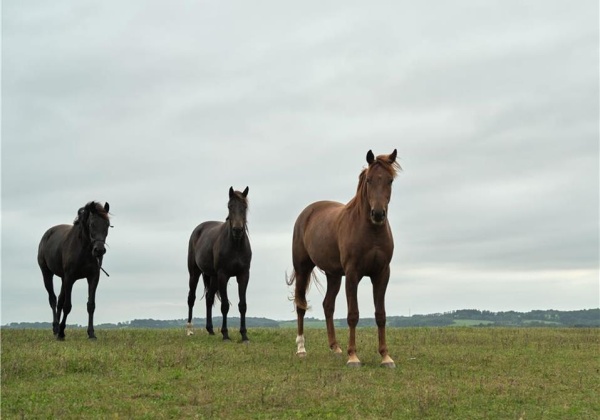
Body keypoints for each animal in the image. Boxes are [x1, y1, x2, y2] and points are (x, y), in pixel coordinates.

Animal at [37, 201, 111, 342]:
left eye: (108, 225)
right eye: (92, 224)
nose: (99, 250)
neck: (84, 249)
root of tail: (47, 234)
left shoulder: (93, 277)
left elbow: (91, 305)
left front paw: (91, 333)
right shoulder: (70, 278)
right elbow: (67, 306)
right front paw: (61, 333)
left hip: (63, 279)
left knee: (59, 300)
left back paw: (57, 329)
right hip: (47, 273)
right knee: (53, 299)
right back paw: (56, 328)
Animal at [188, 187, 253, 342]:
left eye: (244, 207)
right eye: (230, 206)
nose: (237, 230)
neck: (236, 245)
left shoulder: (244, 275)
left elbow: (243, 305)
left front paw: (244, 335)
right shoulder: (224, 275)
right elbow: (224, 305)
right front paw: (225, 334)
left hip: (213, 277)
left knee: (209, 298)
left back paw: (210, 330)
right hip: (194, 273)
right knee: (191, 298)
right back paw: (189, 330)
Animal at [288, 149, 400, 366]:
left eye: (390, 180)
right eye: (369, 180)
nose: (378, 214)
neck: (371, 232)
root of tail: (306, 213)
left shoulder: (382, 274)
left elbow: (381, 315)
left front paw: (385, 356)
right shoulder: (352, 274)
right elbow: (353, 314)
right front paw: (353, 356)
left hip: (333, 275)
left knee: (328, 305)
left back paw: (335, 347)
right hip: (303, 269)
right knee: (301, 305)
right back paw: (301, 348)